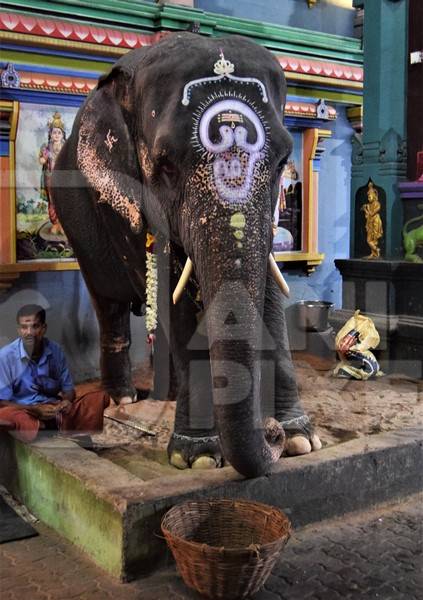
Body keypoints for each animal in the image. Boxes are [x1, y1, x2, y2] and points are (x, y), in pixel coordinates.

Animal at [52, 31, 322, 478]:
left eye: (285, 160)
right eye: (165, 167)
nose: (270, 435)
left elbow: (268, 294)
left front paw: (300, 440)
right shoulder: (126, 200)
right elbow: (172, 297)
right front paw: (197, 458)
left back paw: (168, 394)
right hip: (79, 229)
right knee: (109, 306)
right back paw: (124, 399)